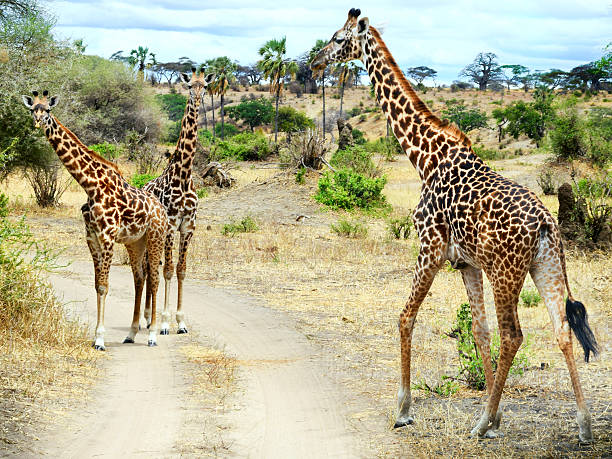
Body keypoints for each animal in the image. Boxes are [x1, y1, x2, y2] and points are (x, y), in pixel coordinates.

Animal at [22, 90, 169, 352]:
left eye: (47, 110)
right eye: (32, 110)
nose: (38, 122)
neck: (90, 185)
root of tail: (162, 210)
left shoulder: (107, 236)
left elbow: (104, 285)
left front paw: (100, 339)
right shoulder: (91, 237)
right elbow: (97, 284)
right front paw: (95, 337)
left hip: (155, 237)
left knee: (153, 278)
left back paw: (152, 334)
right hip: (135, 242)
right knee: (139, 278)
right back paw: (131, 333)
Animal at [142, 69, 215, 334]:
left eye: (205, 86)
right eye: (189, 86)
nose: (197, 99)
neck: (183, 176)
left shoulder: (188, 226)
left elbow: (181, 270)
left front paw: (181, 321)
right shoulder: (171, 226)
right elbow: (167, 270)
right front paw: (164, 321)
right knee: (148, 268)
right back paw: (146, 317)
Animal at [314, 8, 600, 442]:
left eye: (337, 38)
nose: (314, 63)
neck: (425, 156)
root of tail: (546, 222)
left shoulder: (430, 248)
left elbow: (405, 317)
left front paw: (404, 410)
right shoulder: (466, 263)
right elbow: (479, 333)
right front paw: (496, 418)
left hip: (506, 272)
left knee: (514, 334)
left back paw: (479, 425)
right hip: (546, 267)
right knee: (562, 329)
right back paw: (582, 426)